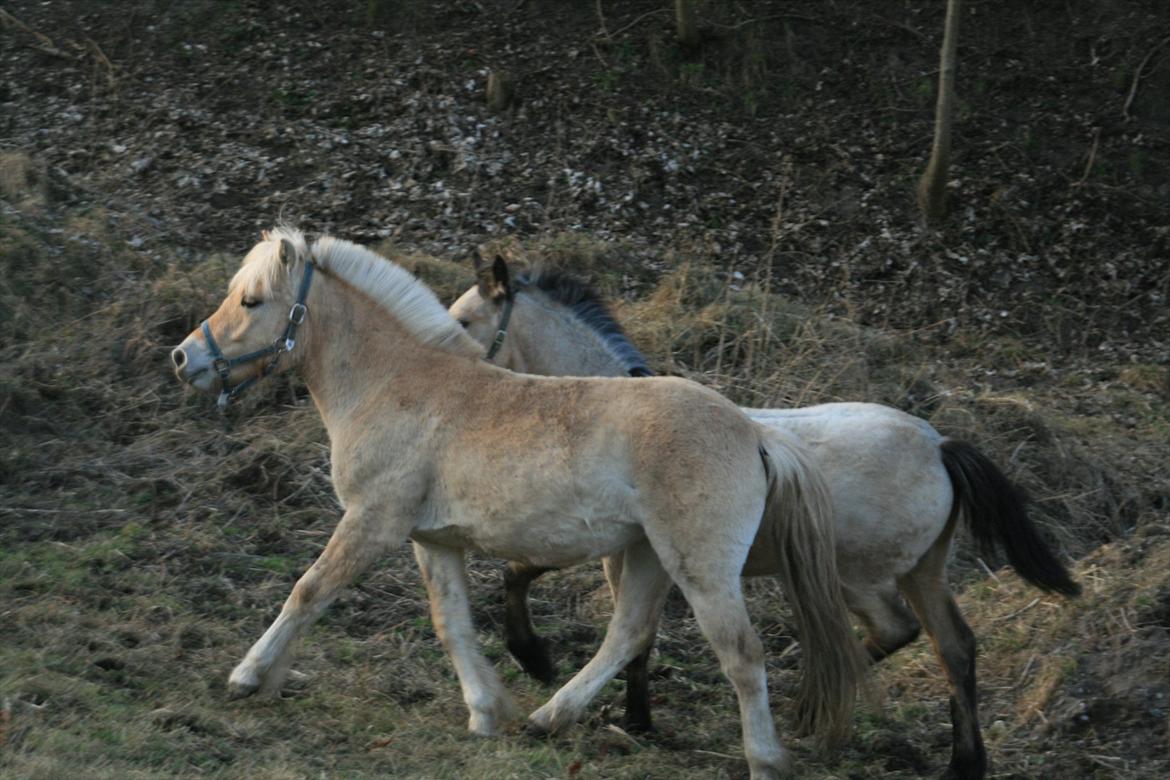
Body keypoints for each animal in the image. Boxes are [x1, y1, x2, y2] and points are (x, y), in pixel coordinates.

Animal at [170, 226, 870, 780]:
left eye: (252, 301)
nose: (185, 357)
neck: (396, 385)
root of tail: (755, 433)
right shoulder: (433, 539)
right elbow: (451, 622)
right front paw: (488, 712)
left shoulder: (373, 522)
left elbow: (309, 591)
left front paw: (248, 677)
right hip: (648, 555)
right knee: (628, 632)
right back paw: (546, 718)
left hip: (700, 570)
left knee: (740, 656)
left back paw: (765, 761)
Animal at [444, 257, 1076, 780]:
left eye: (465, 320)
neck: (618, 412)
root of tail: (939, 444)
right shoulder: (639, 551)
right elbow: (627, 628)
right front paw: (636, 717)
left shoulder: (621, 550)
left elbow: (550, 589)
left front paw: (540, 662)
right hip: (924, 571)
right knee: (953, 647)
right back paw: (959, 762)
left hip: (859, 576)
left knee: (899, 631)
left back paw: (807, 710)